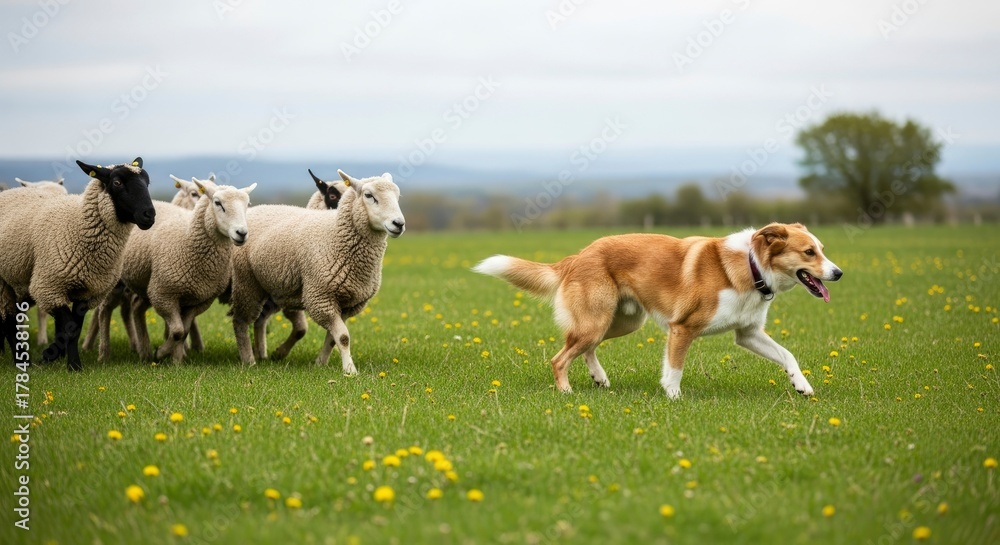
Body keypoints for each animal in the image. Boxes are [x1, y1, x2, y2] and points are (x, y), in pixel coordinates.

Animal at [0, 158, 156, 371]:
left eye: (147, 182)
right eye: (117, 182)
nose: (150, 215)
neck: (77, 225)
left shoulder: (88, 293)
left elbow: (75, 328)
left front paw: (53, 356)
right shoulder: (48, 287)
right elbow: (69, 329)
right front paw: (73, 365)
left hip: (17, 283)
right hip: (4, 283)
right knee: (8, 320)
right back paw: (22, 362)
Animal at [122, 178, 256, 362]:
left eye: (247, 204)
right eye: (218, 203)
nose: (241, 233)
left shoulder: (198, 300)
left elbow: (183, 331)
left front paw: (176, 361)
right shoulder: (163, 294)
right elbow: (178, 331)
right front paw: (162, 352)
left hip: (146, 283)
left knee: (136, 307)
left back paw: (145, 351)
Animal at [230, 170, 404, 369]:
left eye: (397, 196)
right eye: (369, 195)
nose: (399, 224)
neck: (334, 234)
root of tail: (257, 208)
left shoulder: (347, 305)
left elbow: (333, 338)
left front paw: (320, 363)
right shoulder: (320, 297)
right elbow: (343, 337)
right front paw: (350, 369)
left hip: (270, 287)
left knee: (260, 320)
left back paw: (262, 354)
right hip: (246, 282)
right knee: (240, 321)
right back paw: (249, 360)